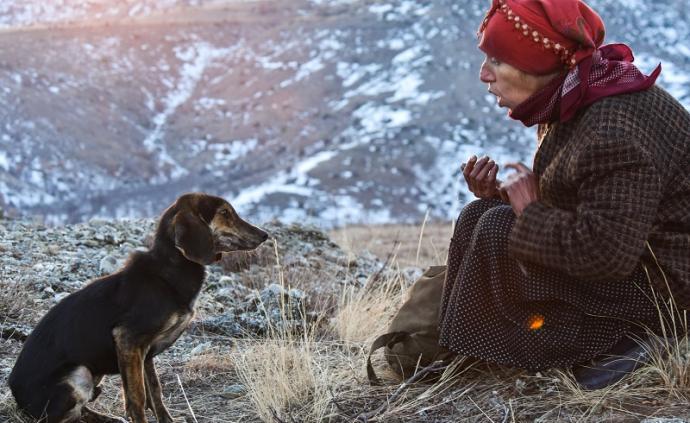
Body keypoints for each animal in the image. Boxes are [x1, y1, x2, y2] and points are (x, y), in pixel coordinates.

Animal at [8, 194, 266, 422]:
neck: (169, 270)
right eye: (225, 212)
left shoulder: (145, 353)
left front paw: (167, 420)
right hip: (79, 375)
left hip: (95, 373)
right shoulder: (128, 340)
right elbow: (138, 398)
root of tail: (17, 397)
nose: (264, 235)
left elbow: (155, 391)